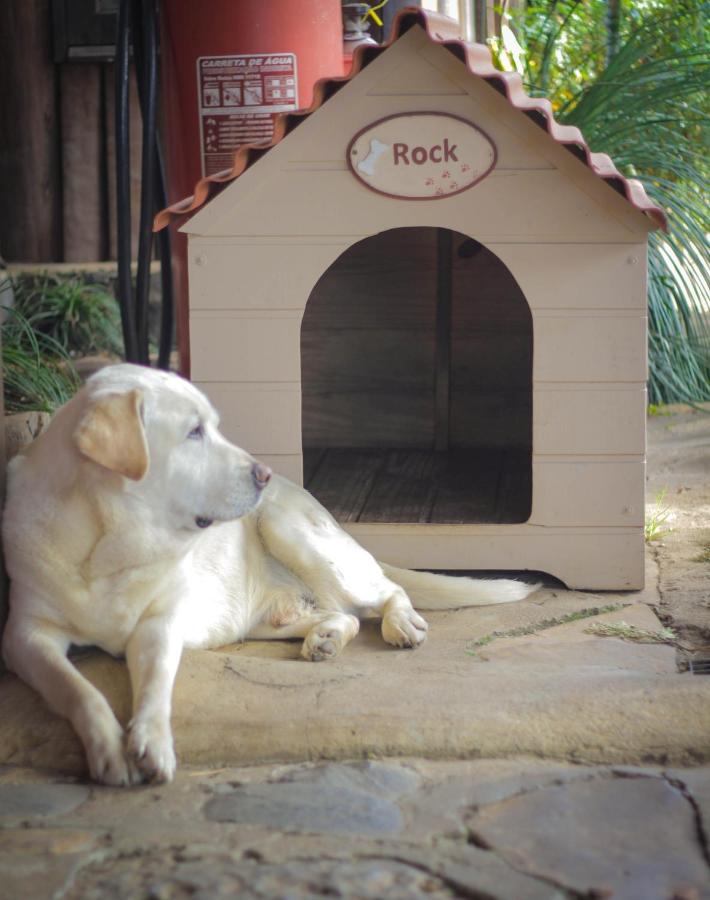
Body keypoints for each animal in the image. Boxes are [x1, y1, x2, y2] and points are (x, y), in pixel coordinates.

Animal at [2, 366, 536, 788]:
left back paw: (399, 623)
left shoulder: (161, 624)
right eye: (194, 432)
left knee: (385, 592)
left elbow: (153, 687)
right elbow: (78, 690)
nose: (263, 472)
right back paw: (325, 639)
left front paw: (152, 743)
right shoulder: (25, 636)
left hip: (291, 530)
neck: (114, 541)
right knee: (339, 615)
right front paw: (110, 750)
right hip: (259, 617)